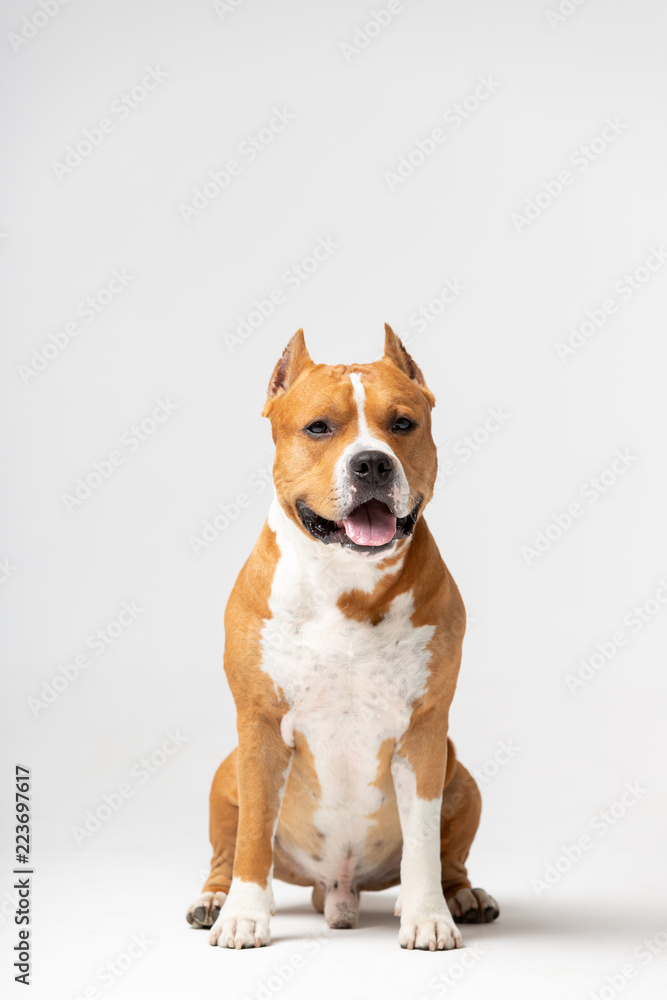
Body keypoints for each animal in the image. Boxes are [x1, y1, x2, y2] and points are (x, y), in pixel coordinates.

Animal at [185, 324, 498, 948]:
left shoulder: (426, 732)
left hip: (462, 776)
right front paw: (244, 916)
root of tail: (338, 887)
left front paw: (428, 916)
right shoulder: (258, 727)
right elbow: (252, 834)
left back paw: (462, 896)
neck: (346, 584)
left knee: (451, 856)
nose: (372, 463)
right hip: (226, 771)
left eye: (402, 423)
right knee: (225, 849)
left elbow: (424, 840)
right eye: (318, 428)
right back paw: (214, 898)